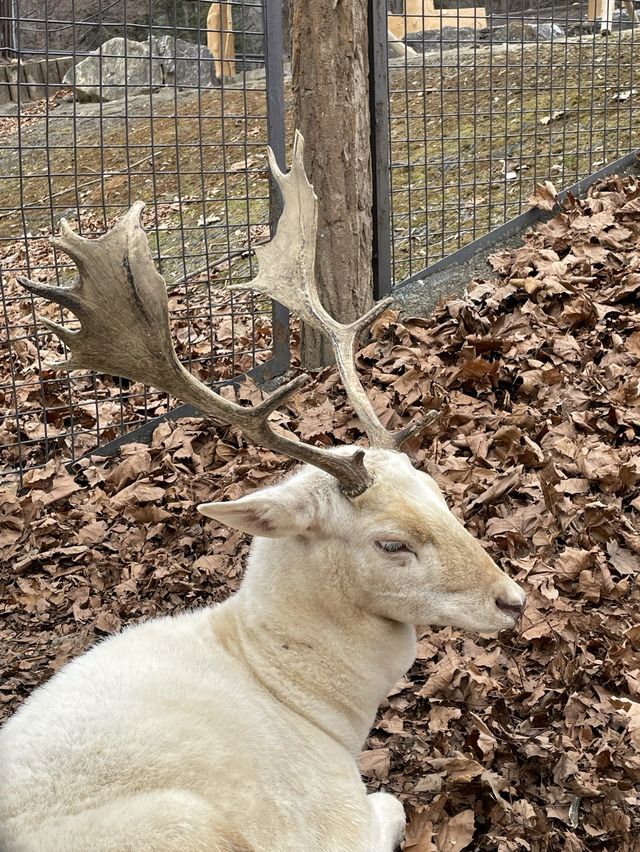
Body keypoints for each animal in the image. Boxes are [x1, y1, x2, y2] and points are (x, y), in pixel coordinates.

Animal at [0, 133, 524, 852]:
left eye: (438, 493)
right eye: (390, 543)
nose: (513, 601)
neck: (310, 706)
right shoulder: (331, 823)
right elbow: (390, 802)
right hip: (179, 825)